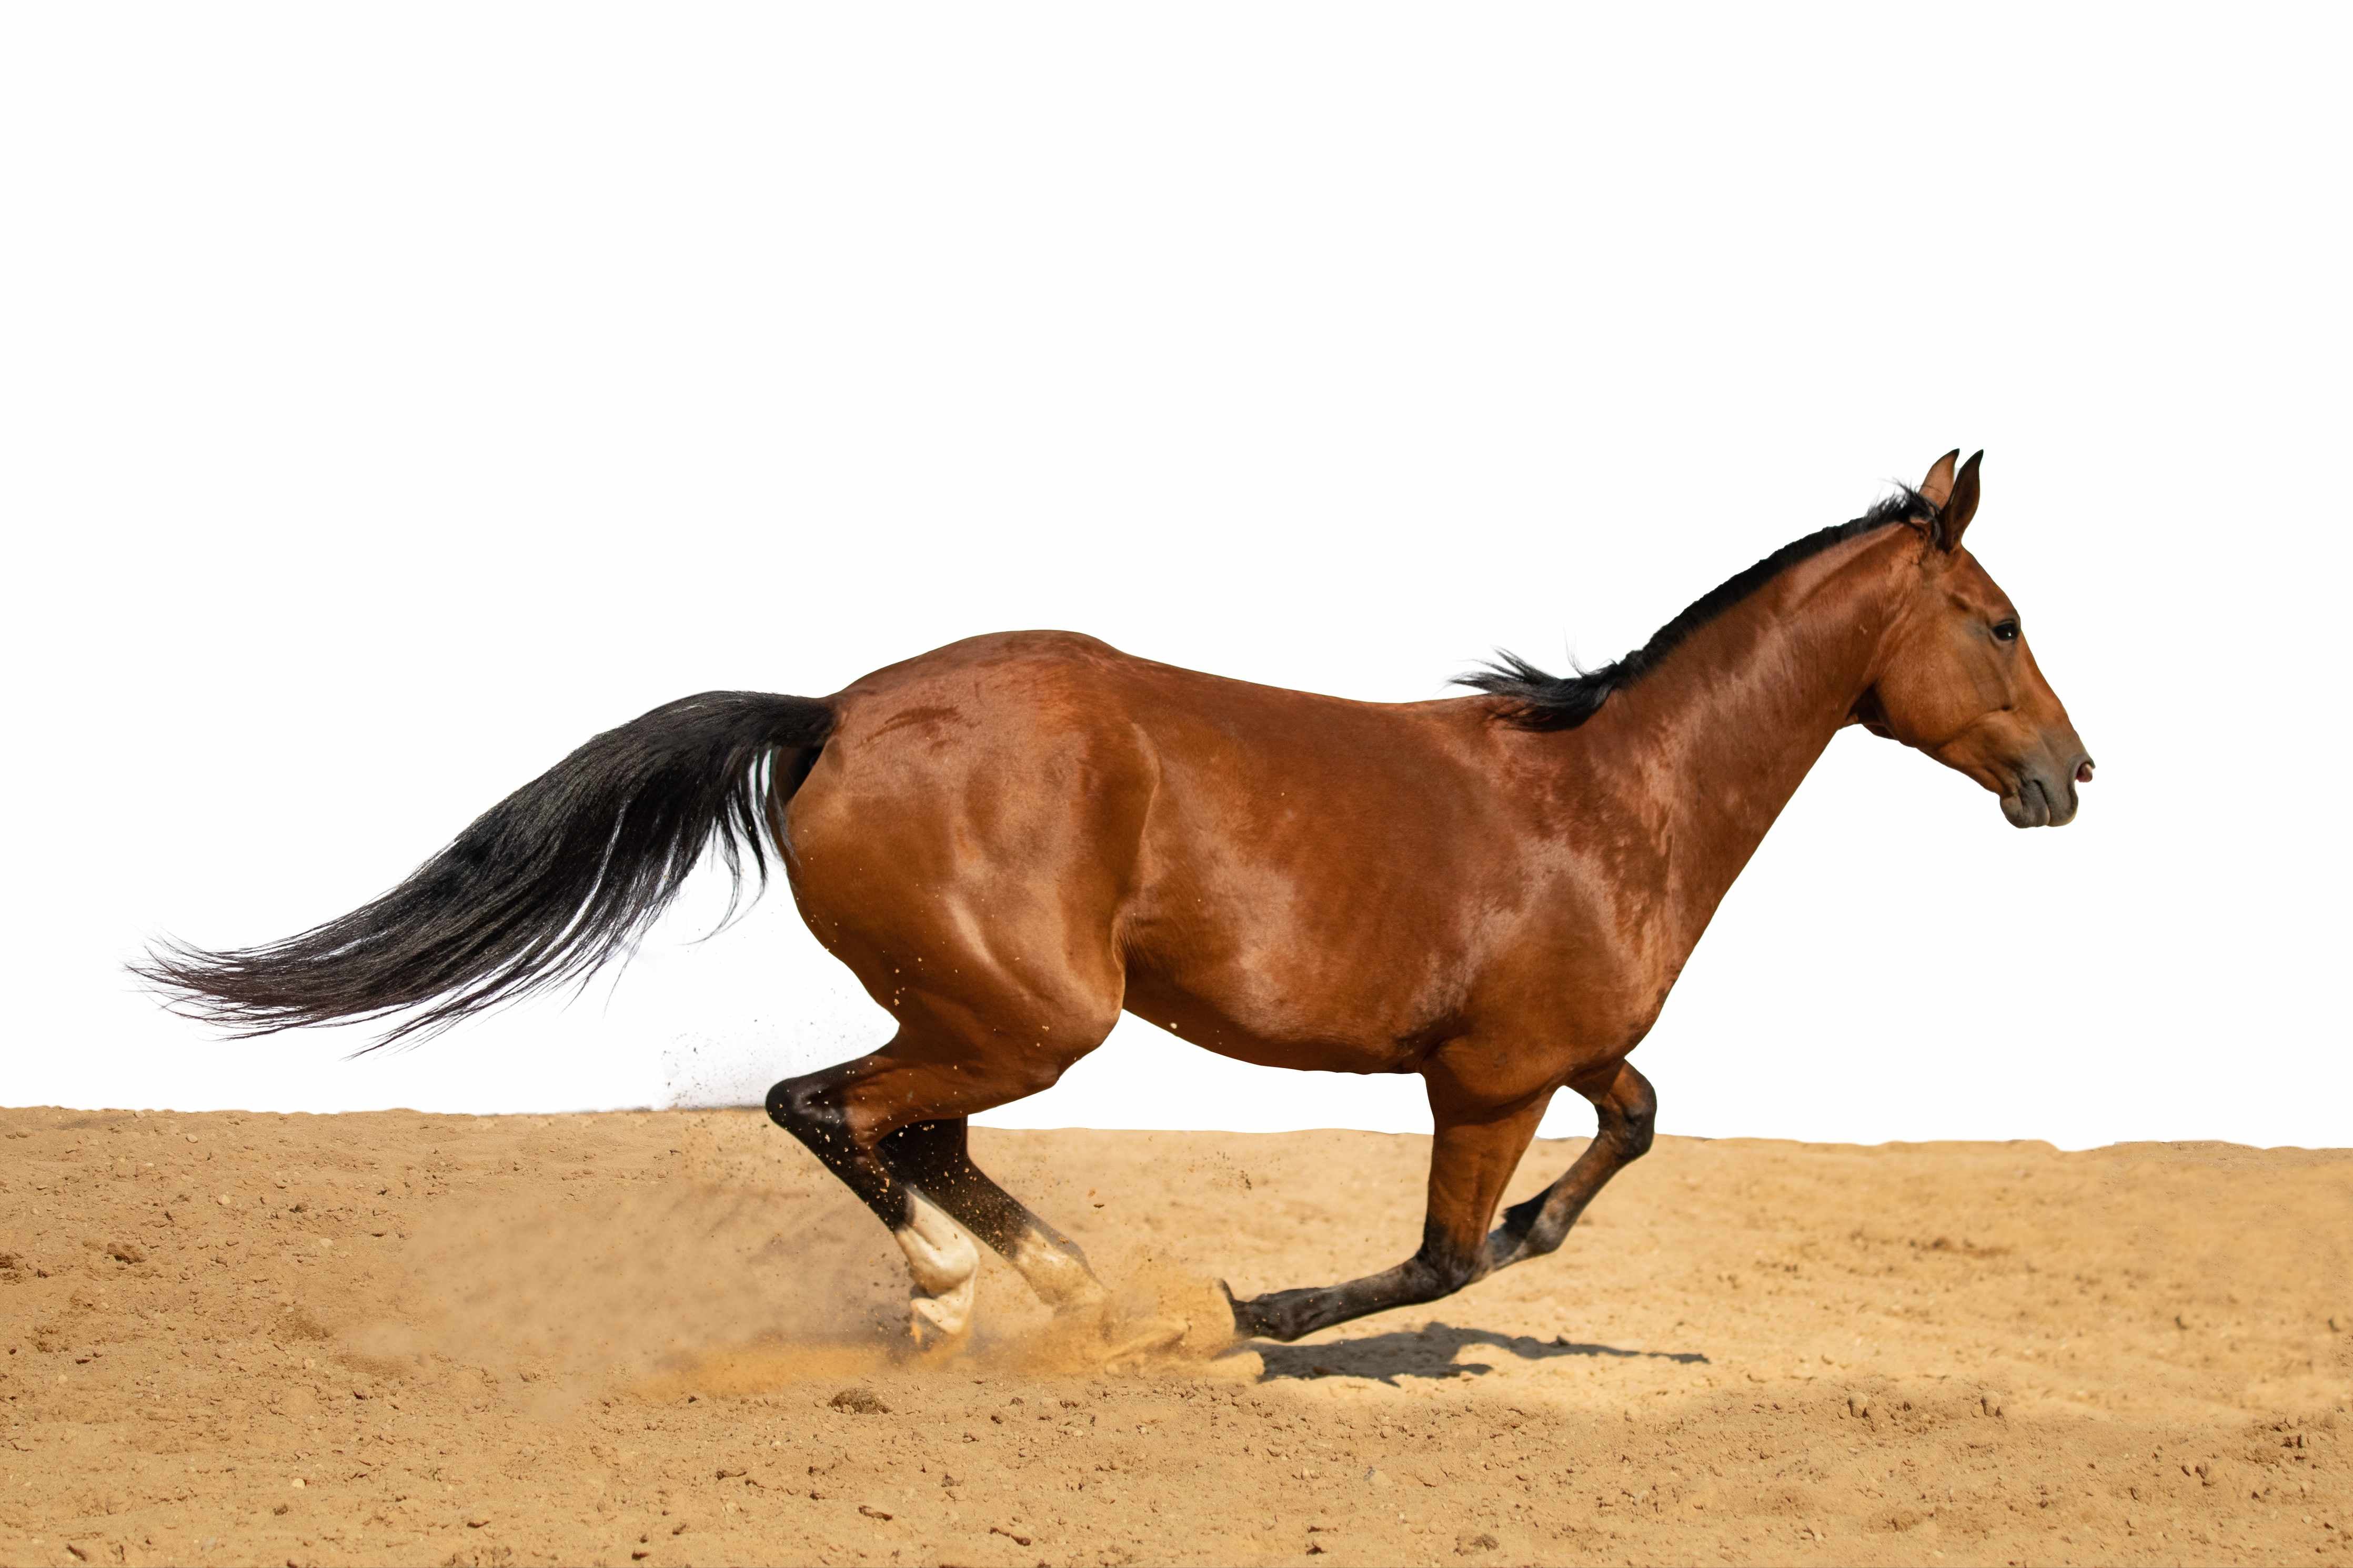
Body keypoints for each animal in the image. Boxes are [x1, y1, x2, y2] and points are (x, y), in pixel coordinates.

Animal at [142, 448, 2092, 1353]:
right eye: (1997, 621)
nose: (2070, 776)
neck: (1611, 796)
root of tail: (834, 713)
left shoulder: (1552, 1051)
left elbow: (1628, 1132)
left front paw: (1515, 1244)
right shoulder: (1484, 1073)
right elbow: (1444, 1253)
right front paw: (1268, 1318)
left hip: (982, 1012)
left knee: (907, 1129)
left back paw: (1070, 1296)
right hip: (1029, 1016)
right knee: (833, 1108)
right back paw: (971, 1300)